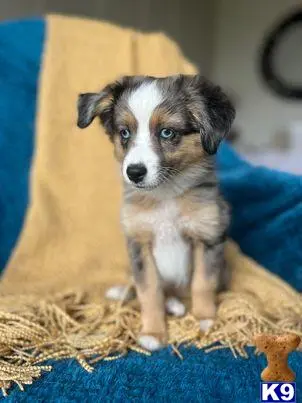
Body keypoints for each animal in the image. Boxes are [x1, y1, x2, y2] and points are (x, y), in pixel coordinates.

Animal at [76, 74, 235, 352]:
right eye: (124, 133)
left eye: (167, 132)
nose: (134, 172)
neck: (165, 195)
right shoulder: (139, 243)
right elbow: (149, 290)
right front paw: (153, 332)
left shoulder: (208, 237)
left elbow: (203, 283)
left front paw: (205, 319)